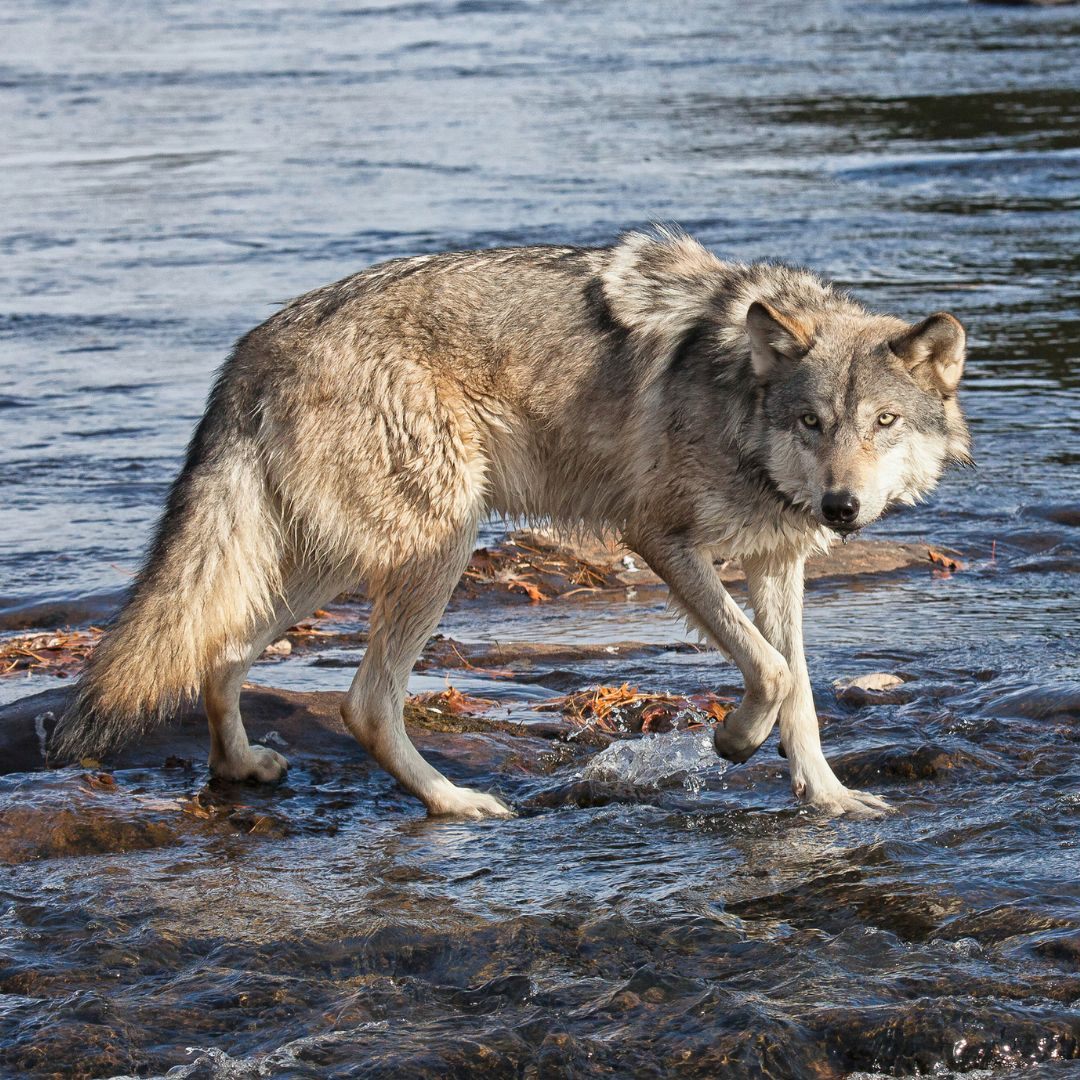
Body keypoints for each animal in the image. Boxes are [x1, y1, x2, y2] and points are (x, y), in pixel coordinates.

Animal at [53, 228, 971, 818]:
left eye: (883, 422)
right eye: (813, 423)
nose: (842, 508)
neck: (736, 394)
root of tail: (256, 345)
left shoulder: (779, 559)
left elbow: (802, 690)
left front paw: (828, 796)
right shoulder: (658, 539)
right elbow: (773, 675)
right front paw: (735, 743)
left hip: (338, 560)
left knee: (221, 648)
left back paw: (240, 767)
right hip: (438, 546)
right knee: (364, 703)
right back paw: (456, 804)